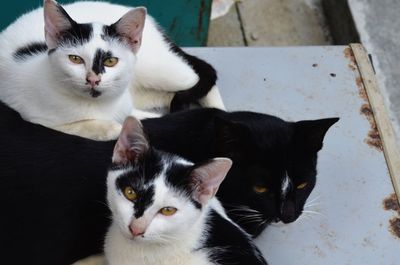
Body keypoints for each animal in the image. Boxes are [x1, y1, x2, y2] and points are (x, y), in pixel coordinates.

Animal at [0, 0, 223, 139]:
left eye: (110, 61)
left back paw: (219, 111)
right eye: (75, 59)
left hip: (162, 71)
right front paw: (114, 127)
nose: (93, 79)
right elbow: (81, 126)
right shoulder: (34, 117)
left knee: (196, 77)